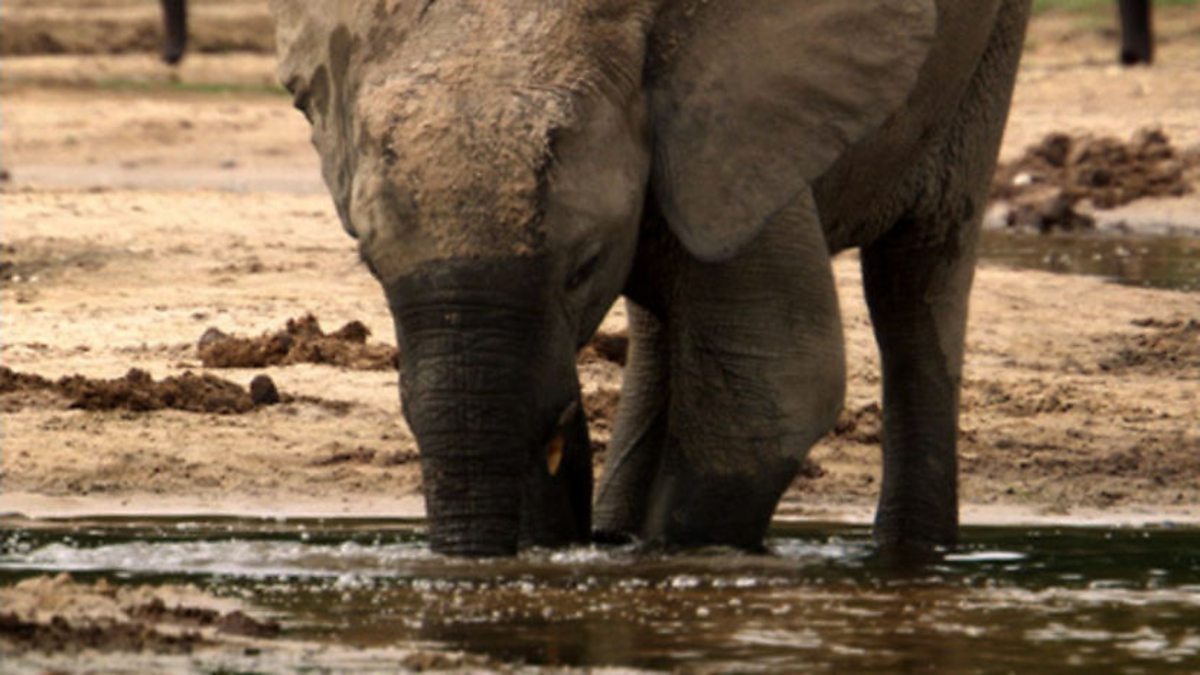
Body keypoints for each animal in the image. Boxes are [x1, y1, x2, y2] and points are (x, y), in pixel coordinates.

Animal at [269, 0, 1033, 556]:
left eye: (582, 266)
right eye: (372, 265)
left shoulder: (739, 111)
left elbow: (777, 380)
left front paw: (663, 562)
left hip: (988, 57)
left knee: (916, 282)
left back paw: (914, 557)